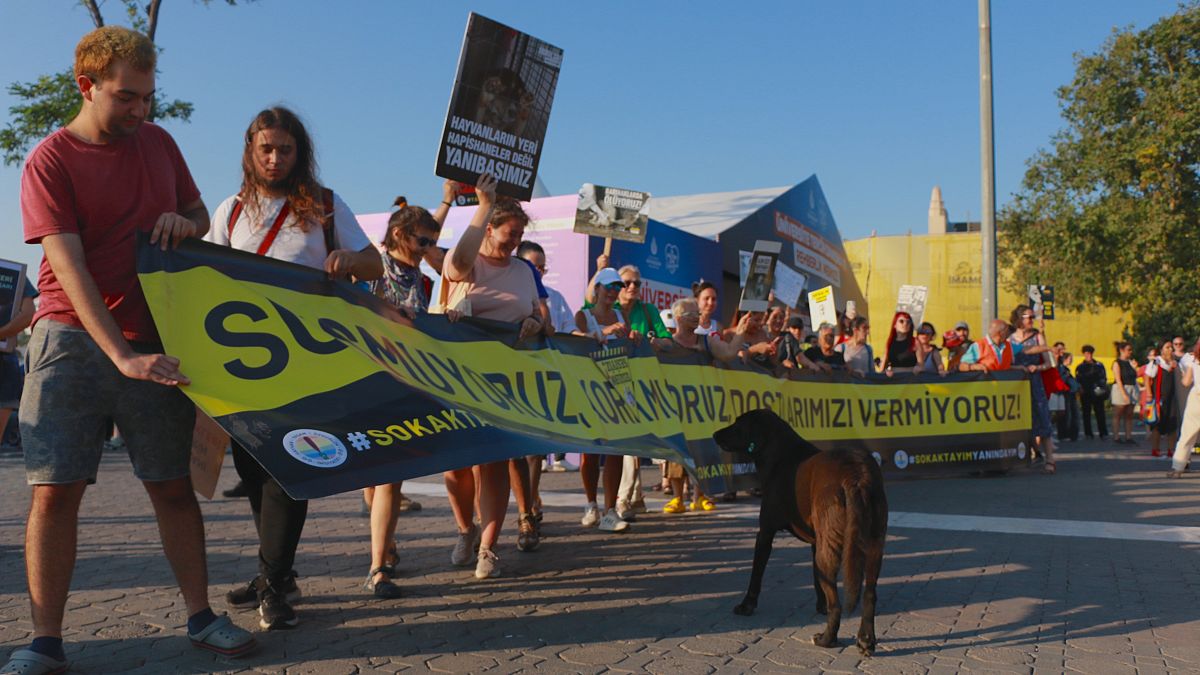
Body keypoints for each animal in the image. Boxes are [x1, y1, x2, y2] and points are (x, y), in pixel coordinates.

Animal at [710, 408, 892, 653]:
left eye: (739, 424)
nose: (714, 435)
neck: (778, 453)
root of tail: (856, 476)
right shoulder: (817, 542)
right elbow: (816, 579)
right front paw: (820, 606)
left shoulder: (765, 532)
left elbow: (756, 574)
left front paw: (747, 605)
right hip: (873, 546)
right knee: (870, 595)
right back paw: (865, 640)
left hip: (832, 551)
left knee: (837, 604)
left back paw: (826, 639)